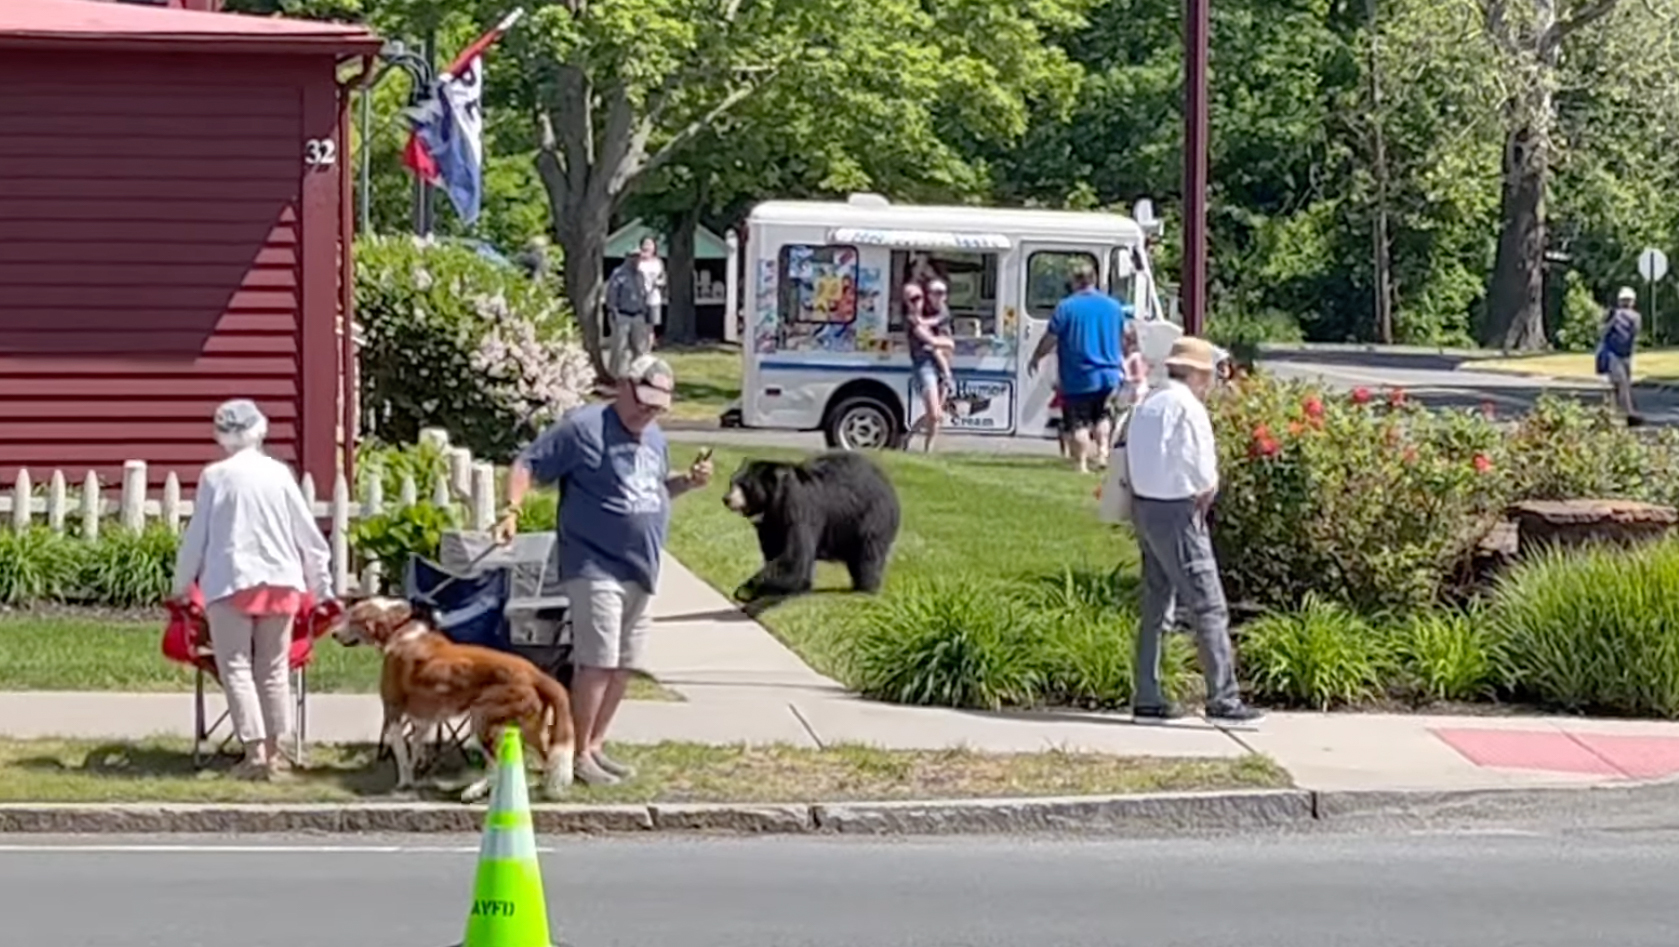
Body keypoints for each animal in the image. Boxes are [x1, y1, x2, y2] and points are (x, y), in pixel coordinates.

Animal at [327, 597, 577, 799]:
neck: (400, 629)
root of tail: (534, 672)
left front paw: (404, 782)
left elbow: (402, 755)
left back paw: (474, 791)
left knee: (497, 766)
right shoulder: (424, 719)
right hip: (531, 729)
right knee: (545, 761)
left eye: (352, 618)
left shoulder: (393, 712)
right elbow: (416, 748)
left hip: (481, 719)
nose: (333, 634)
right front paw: (416, 774)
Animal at [725, 449, 906, 607]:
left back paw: (865, 588)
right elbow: (775, 549)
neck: (774, 502)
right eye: (732, 482)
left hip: (872, 516)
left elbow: (795, 558)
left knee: (869, 553)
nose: (726, 499)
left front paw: (745, 591)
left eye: (744, 486)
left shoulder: (798, 506)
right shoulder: (770, 523)